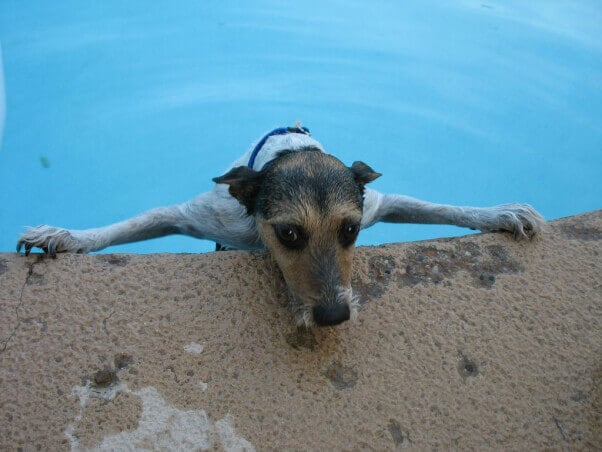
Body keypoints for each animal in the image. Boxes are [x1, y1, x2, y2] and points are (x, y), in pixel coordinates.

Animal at [15, 125, 544, 326]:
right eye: (289, 234)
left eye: (350, 232)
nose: (333, 316)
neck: (293, 154)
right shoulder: (208, 219)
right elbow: (128, 226)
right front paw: (63, 236)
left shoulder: (375, 204)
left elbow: (439, 208)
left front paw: (501, 213)